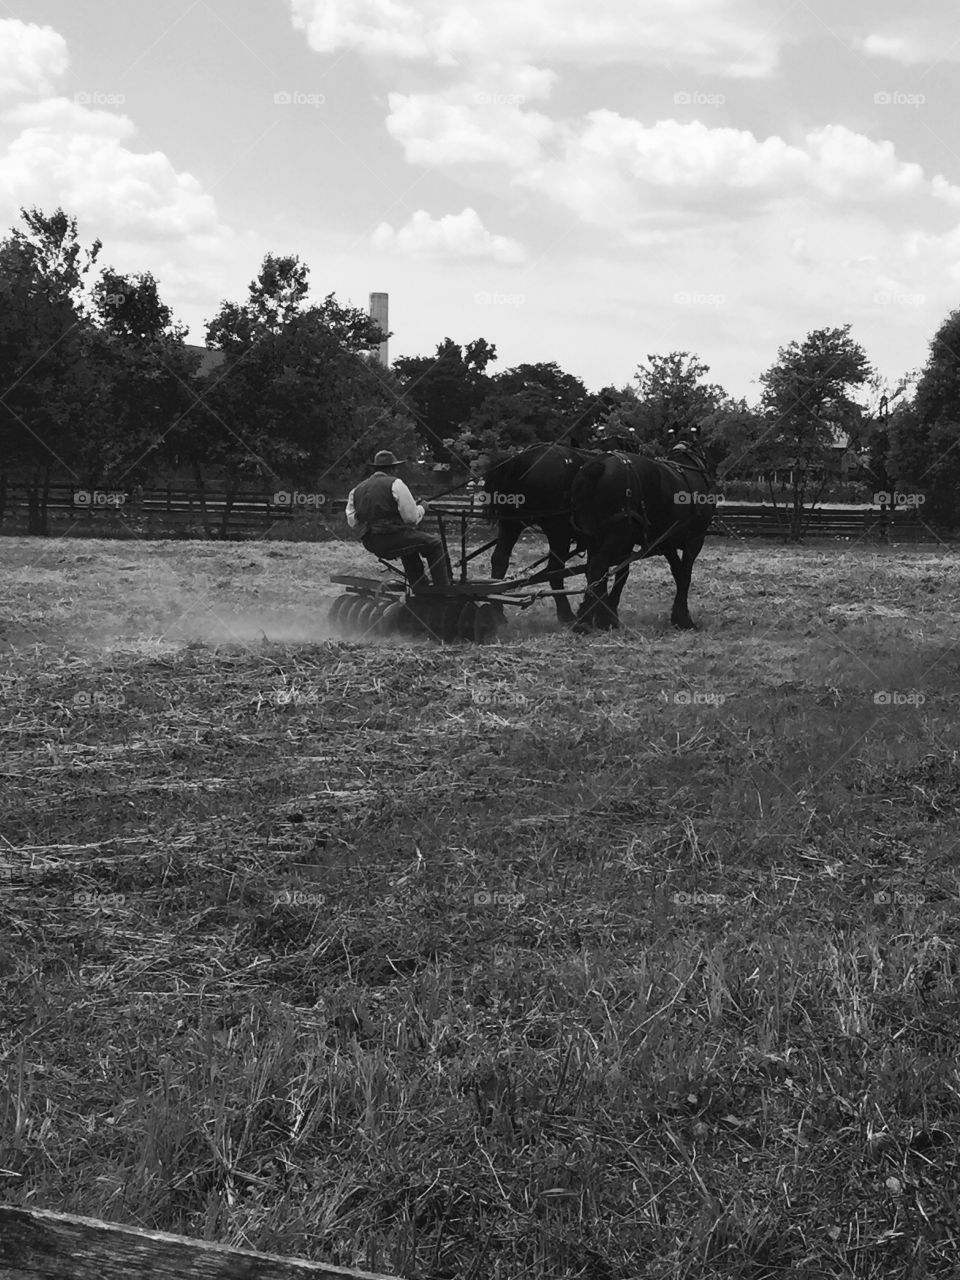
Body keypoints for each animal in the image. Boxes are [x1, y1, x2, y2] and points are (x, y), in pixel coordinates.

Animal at [570, 442, 716, 632]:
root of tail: (598, 465)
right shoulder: (695, 538)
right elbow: (685, 576)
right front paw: (683, 618)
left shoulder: (665, 541)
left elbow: (675, 573)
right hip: (619, 535)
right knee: (597, 566)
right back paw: (587, 620)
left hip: (595, 537)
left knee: (596, 571)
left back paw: (596, 617)